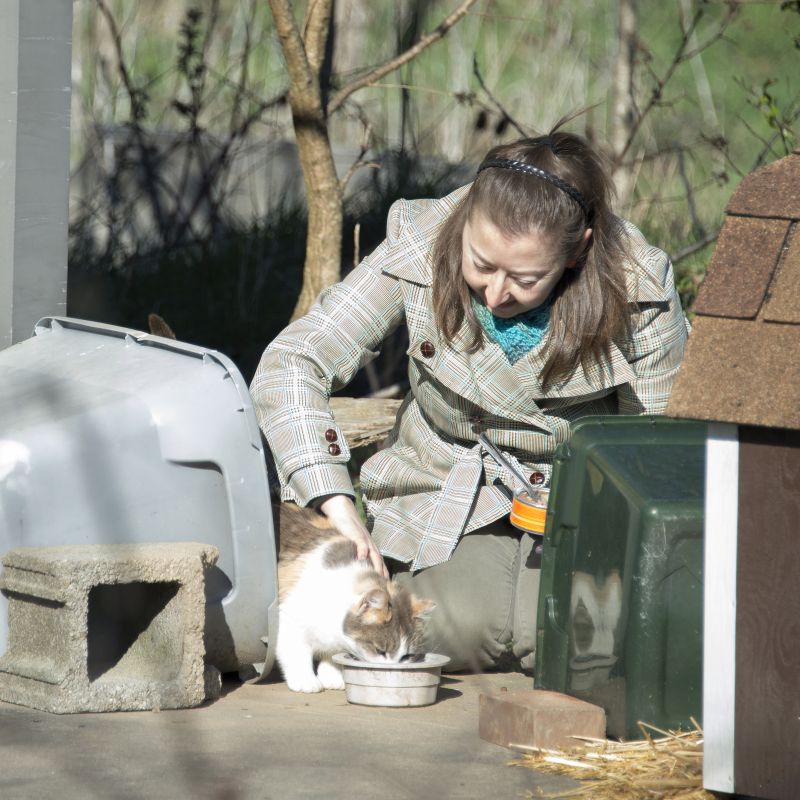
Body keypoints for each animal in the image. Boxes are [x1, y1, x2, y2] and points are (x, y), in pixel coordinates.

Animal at [276, 506, 438, 692]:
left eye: (406, 656)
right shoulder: (290, 618)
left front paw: (332, 675)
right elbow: (295, 651)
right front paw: (305, 680)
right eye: (380, 650)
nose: (391, 671)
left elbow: (333, 653)